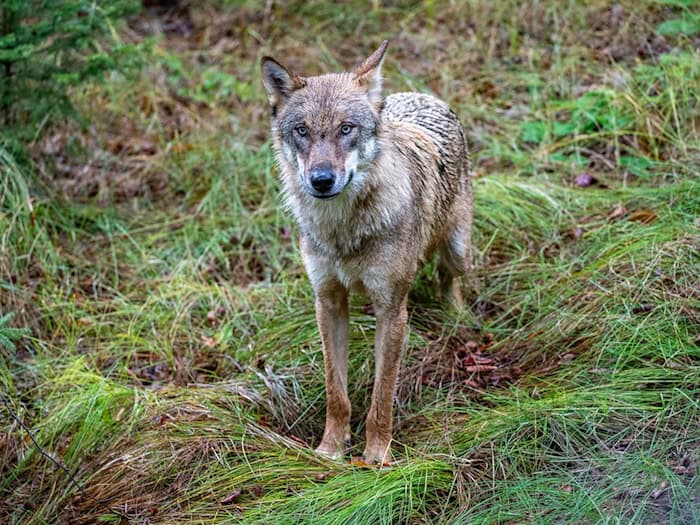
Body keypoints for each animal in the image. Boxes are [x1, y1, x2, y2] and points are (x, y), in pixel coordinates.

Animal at [261, 40, 473, 463]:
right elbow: (336, 392)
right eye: (302, 131)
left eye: (346, 129)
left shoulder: (392, 311)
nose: (321, 180)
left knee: (449, 278)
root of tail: (420, 95)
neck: (344, 230)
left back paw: (456, 316)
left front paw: (376, 458)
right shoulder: (327, 302)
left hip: (457, 249)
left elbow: (382, 395)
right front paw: (330, 450)